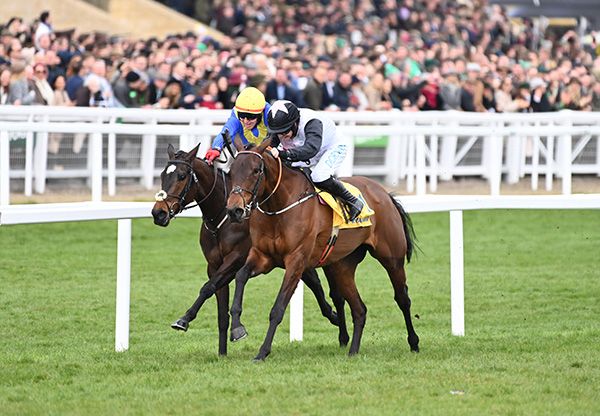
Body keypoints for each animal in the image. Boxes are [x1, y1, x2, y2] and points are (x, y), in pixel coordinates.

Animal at [150, 145, 340, 356]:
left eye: (182, 176)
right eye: (162, 175)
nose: (158, 213)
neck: (221, 219)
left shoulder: (236, 259)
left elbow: (208, 287)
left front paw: (185, 319)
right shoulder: (214, 265)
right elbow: (218, 304)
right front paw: (221, 353)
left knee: (316, 282)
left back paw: (335, 317)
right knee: (313, 280)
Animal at [225, 139, 418, 360]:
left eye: (256, 170)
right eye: (231, 171)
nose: (234, 210)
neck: (280, 207)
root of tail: (384, 193)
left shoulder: (296, 261)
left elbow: (278, 308)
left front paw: (262, 352)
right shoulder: (263, 256)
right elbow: (240, 275)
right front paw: (237, 327)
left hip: (392, 258)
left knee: (402, 298)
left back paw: (414, 342)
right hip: (342, 266)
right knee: (359, 308)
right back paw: (353, 350)